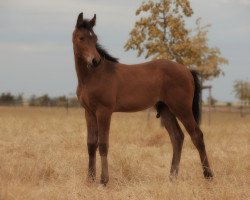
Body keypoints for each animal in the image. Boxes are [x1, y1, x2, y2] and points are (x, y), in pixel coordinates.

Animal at [72, 12, 213, 184]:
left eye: (95, 39)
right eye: (81, 38)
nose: (95, 60)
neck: (92, 76)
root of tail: (186, 70)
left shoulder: (104, 111)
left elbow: (103, 144)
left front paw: (104, 181)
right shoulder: (89, 112)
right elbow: (91, 144)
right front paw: (90, 179)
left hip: (182, 108)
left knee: (197, 135)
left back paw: (208, 176)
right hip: (166, 109)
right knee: (177, 137)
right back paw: (172, 177)